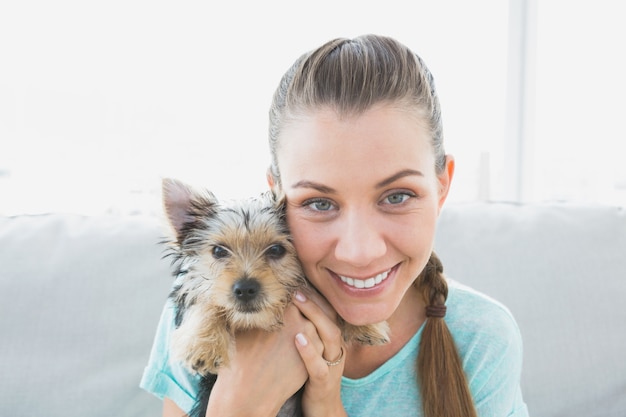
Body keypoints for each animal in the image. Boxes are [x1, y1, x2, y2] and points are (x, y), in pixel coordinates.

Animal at [161, 178, 386, 416]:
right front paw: (204, 344)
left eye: (276, 250)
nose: (245, 289)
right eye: (219, 251)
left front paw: (366, 326)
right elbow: (206, 302)